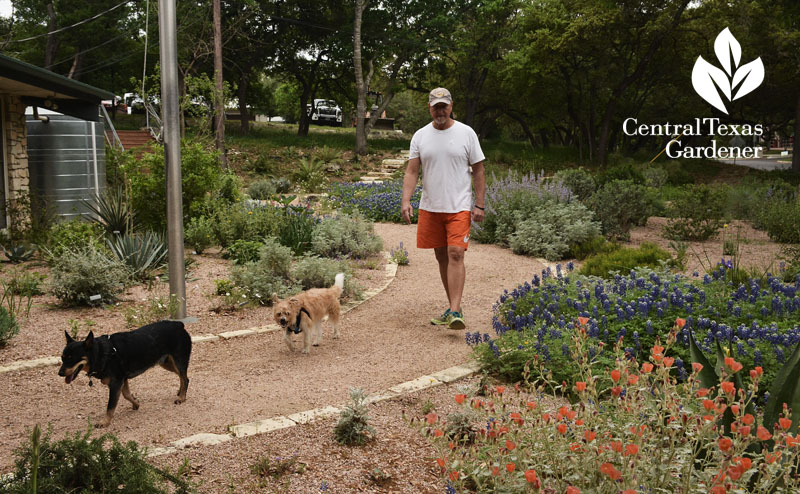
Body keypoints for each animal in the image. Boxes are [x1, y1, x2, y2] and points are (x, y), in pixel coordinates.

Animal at [57, 318, 192, 426]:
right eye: (62, 358)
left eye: (71, 359)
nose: (60, 373)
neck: (101, 353)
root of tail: (178, 324)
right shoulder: (123, 379)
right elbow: (126, 395)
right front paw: (136, 403)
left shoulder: (116, 383)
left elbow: (110, 406)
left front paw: (105, 422)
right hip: (167, 363)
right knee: (182, 377)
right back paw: (180, 392)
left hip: (178, 361)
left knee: (185, 378)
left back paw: (182, 398)